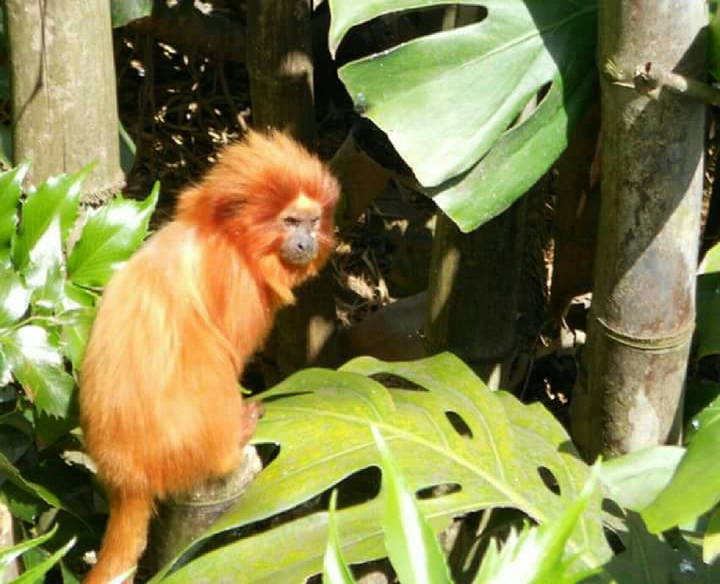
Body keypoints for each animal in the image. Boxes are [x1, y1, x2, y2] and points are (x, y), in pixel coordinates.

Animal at [79, 131, 340, 583]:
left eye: (312, 222)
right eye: (290, 222)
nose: (306, 242)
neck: (229, 237)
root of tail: (126, 474)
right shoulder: (234, 281)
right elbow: (228, 352)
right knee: (210, 361)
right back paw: (231, 444)